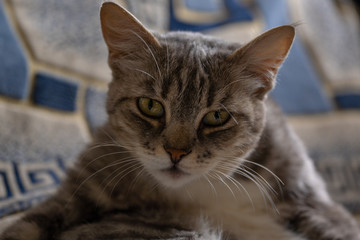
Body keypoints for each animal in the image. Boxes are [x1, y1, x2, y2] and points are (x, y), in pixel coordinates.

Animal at [0, 1, 360, 240]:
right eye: (150, 106)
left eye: (217, 116)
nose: (175, 152)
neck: (198, 192)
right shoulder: (79, 186)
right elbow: (27, 225)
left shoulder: (311, 199)